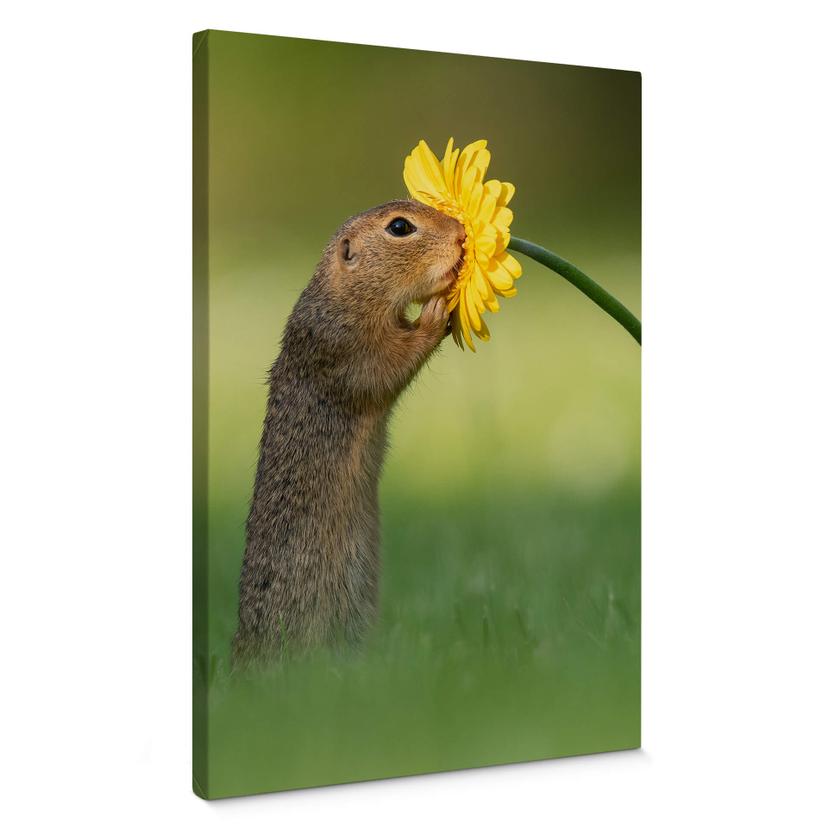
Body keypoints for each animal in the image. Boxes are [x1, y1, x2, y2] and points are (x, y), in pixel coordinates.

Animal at [232, 200, 466, 665]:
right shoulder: (347, 348)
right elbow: (389, 364)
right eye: (400, 227)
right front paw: (435, 313)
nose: (462, 234)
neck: (344, 295)